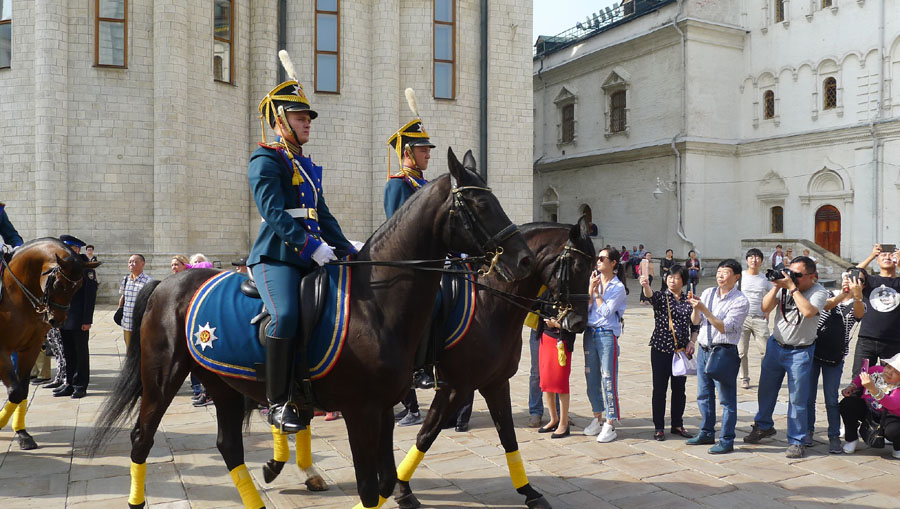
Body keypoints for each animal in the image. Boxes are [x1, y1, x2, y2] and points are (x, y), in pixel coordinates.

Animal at [0, 238, 100, 448]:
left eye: (78, 287)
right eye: (58, 284)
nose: (57, 321)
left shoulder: (30, 348)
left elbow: (21, 391)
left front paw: (22, 433)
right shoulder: (4, 350)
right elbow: (16, 391)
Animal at [85, 148, 536, 508]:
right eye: (478, 204)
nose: (524, 260)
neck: (375, 302)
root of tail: (168, 282)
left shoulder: (384, 407)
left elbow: (385, 483)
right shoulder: (362, 409)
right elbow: (370, 488)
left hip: (222, 383)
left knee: (228, 446)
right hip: (162, 379)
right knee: (142, 438)